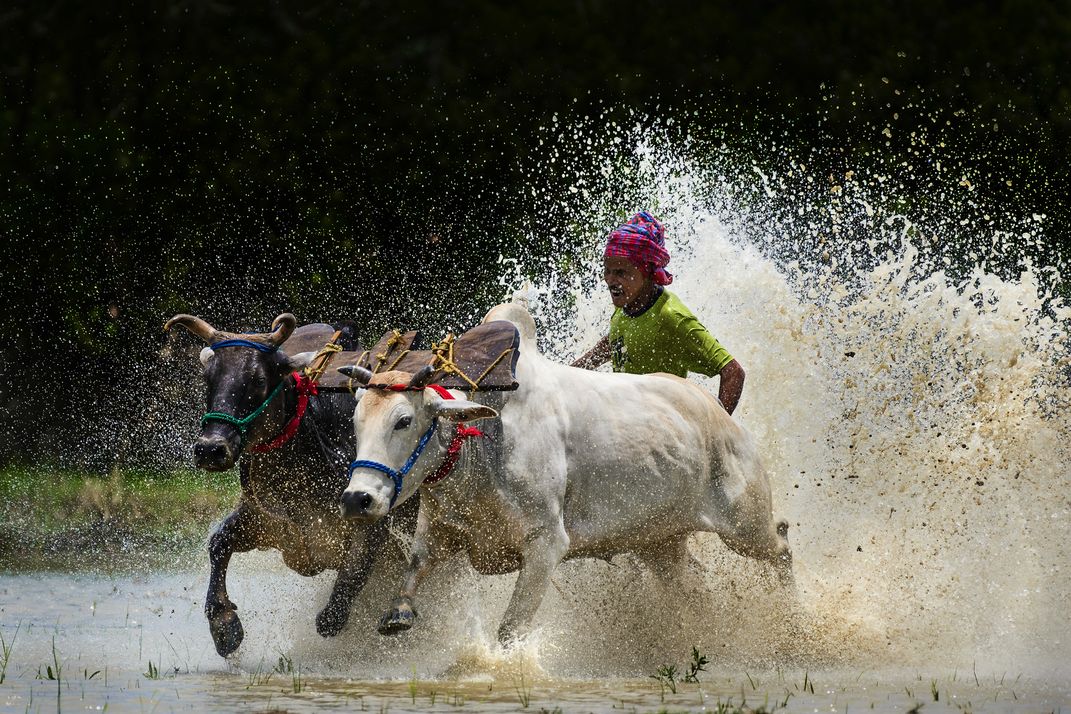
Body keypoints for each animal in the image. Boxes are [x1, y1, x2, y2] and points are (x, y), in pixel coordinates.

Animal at [165, 313, 414, 657]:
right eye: (208, 377)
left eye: (258, 379)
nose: (210, 449)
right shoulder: (263, 521)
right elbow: (218, 543)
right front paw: (224, 626)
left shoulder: (372, 525)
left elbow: (346, 587)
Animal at [335, 297, 793, 646]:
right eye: (355, 421)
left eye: (403, 420)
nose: (358, 499)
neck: (480, 444)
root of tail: (722, 417)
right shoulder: (437, 528)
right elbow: (412, 574)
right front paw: (399, 614)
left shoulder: (546, 543)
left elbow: (510, 630)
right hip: (660, 543)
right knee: (695, 584)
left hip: (746, 527)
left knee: (783, 544)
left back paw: (794, 624)